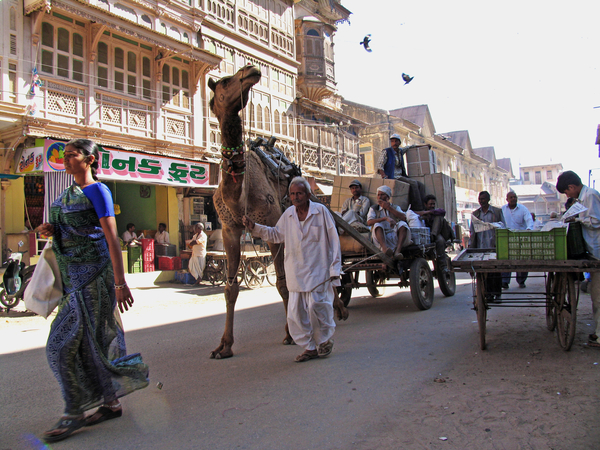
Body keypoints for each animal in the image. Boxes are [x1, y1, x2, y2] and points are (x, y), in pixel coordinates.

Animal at [209, 64, 346, 358]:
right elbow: (230, 288)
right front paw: (224, 346)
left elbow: (283, 284)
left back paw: (336, 311)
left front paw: (290, 334)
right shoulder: (229, 230)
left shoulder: (273, 226)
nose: (250, 69)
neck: (238, 196)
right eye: (225, 81)